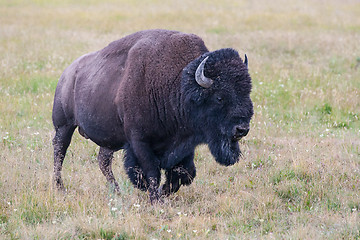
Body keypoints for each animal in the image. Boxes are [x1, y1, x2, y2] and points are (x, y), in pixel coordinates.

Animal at [52, 29, 253, 203]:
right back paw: (59, 187)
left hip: (110, 139)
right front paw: (156, 199)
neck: (177, 85)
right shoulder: (139, 142)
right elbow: (151, 171)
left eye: (247, 92)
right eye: (219, 97)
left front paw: (163, 193)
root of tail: (68, 73)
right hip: (64, 126)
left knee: (103, 160)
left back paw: (116, 191)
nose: (242, 129)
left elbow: (184, 172)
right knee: (59, 152)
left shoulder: (184, 144)